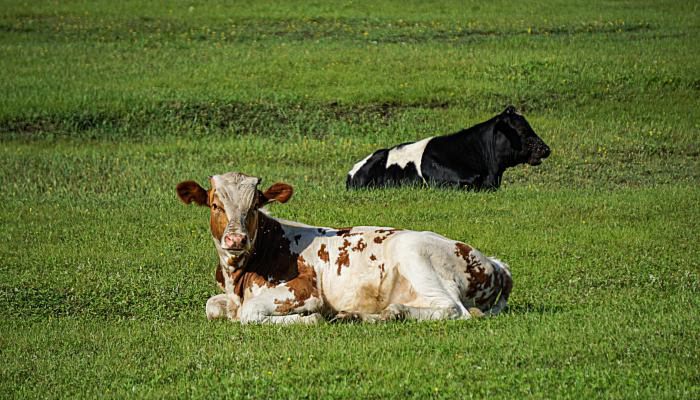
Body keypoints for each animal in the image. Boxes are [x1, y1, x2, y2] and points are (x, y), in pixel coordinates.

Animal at [178, 172, 512, 324]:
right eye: (215, 205)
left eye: (254, 207)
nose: (236, 240)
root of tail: (493, 262)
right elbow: (212, 306)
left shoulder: (304, 289)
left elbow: (249, 313)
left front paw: (309, 318)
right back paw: (358, 315)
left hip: (413, 253)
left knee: (453, 310)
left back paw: (392, 311)